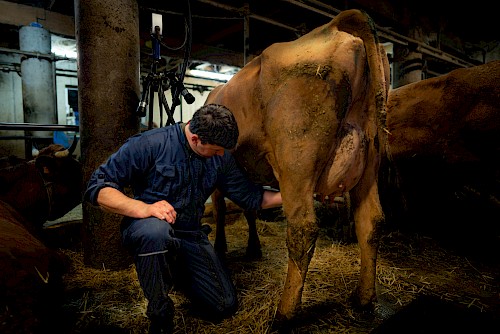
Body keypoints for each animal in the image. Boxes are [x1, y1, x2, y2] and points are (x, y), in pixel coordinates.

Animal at [204, 9, 390, 324]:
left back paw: (285, 313)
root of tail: (332, 26)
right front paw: (253, 248)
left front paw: (221, 247)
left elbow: (220, 208)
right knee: (371, 222)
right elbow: (250, 208)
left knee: (303, 228)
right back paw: (363, 299)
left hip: (297, 158)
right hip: (370, 158)